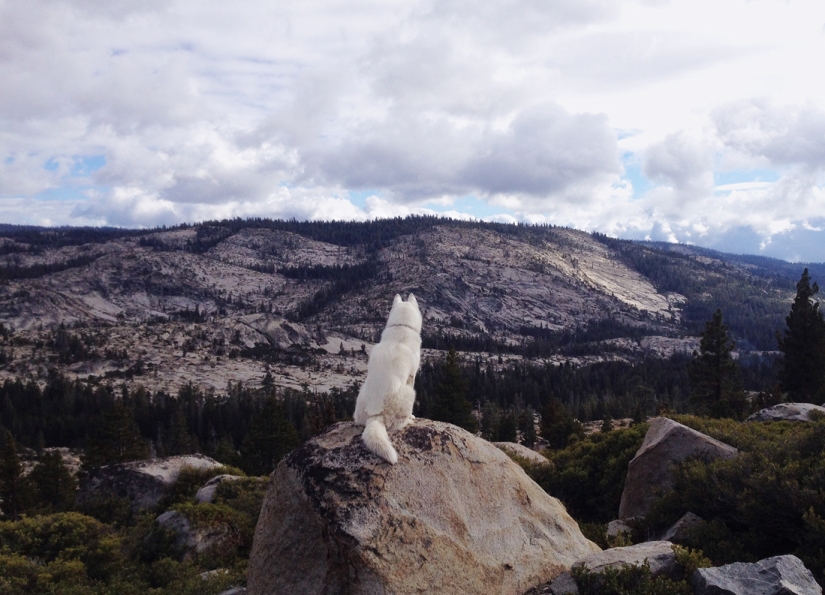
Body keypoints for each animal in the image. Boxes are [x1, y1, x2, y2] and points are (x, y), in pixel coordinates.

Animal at [353, 293, 422, 465]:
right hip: (409, 394)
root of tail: (374, 417)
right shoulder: (411, 377)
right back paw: (409, 420)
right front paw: (412, 416)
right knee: (397, 425)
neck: (401, 326)